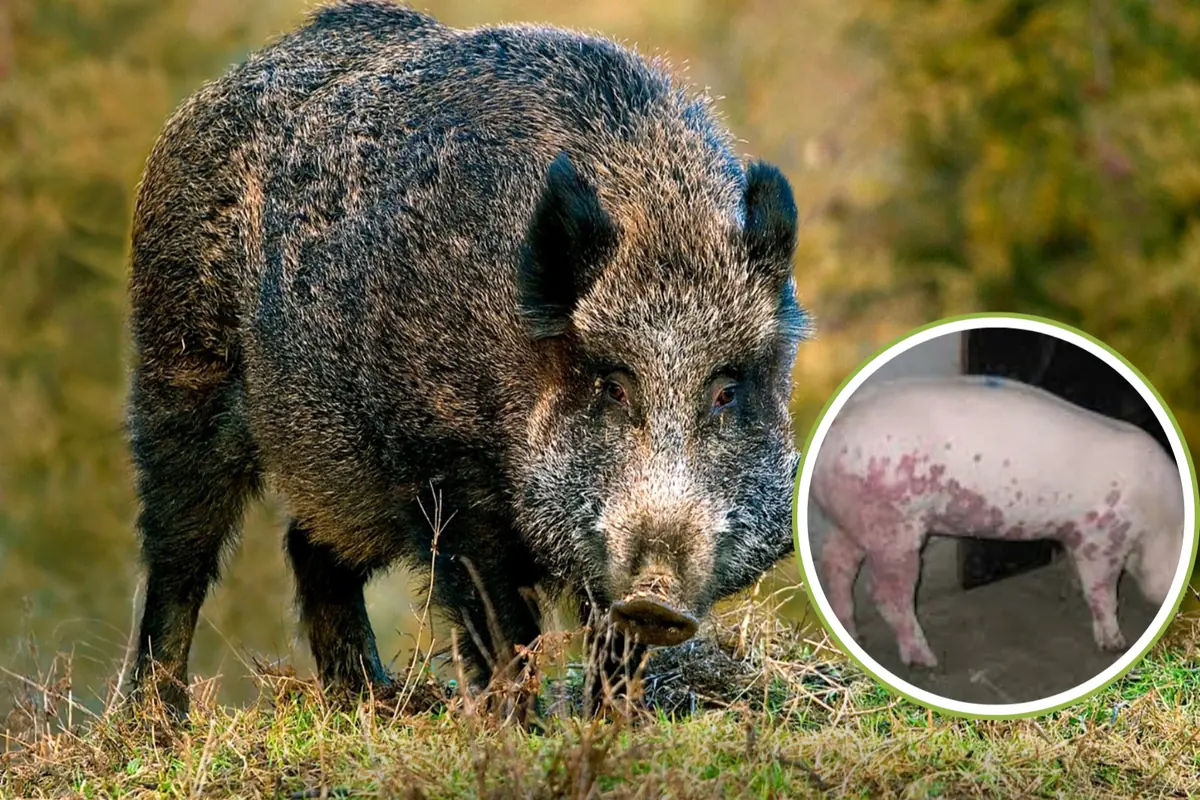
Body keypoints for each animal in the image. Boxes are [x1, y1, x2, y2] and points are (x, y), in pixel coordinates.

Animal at [125, 0, 809, 716]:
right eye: (614, 387)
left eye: (727, 391)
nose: (658, 598)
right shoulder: (445, 468)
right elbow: (500, 623)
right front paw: (518, 725)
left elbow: (610, 643)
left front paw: (614, 723)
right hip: (181, 365)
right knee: (180, 549)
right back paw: (159, 719)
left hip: (337, 456)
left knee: (309, 546)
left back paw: (371, 699)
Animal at [809, 373, 1185, 669]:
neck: (1158, 522)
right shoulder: (1100, 537)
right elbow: (1103, 591)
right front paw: (1115, 643)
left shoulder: (1076, 534)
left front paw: (1071, 588)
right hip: (892, 524)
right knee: (886, 593)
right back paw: (927, 661)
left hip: (855, 519)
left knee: (835, 562)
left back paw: (854, 635)